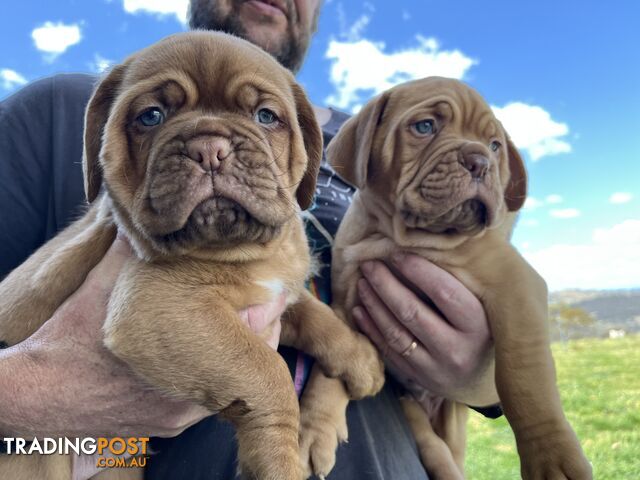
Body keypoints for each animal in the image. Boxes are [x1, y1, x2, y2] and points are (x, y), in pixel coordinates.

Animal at [0, 31, 382, 480]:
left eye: (266, 116)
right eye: (151, 116)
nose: (209, 148)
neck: (245, 251)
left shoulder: (275, 295)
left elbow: (315, 314)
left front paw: (361, 358)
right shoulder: (159, 306)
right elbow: (268, 373)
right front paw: (279, 462)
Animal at [302, 77, 592, 478]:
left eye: (495, 146)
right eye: (425, 126)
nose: (480, 161)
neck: (406, 237)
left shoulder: (516, 287)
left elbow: (524, 375)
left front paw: (551, 455)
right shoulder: (346, 305)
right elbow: (332, 367)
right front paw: (315, 427)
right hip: (411, 407)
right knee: (431, 445)